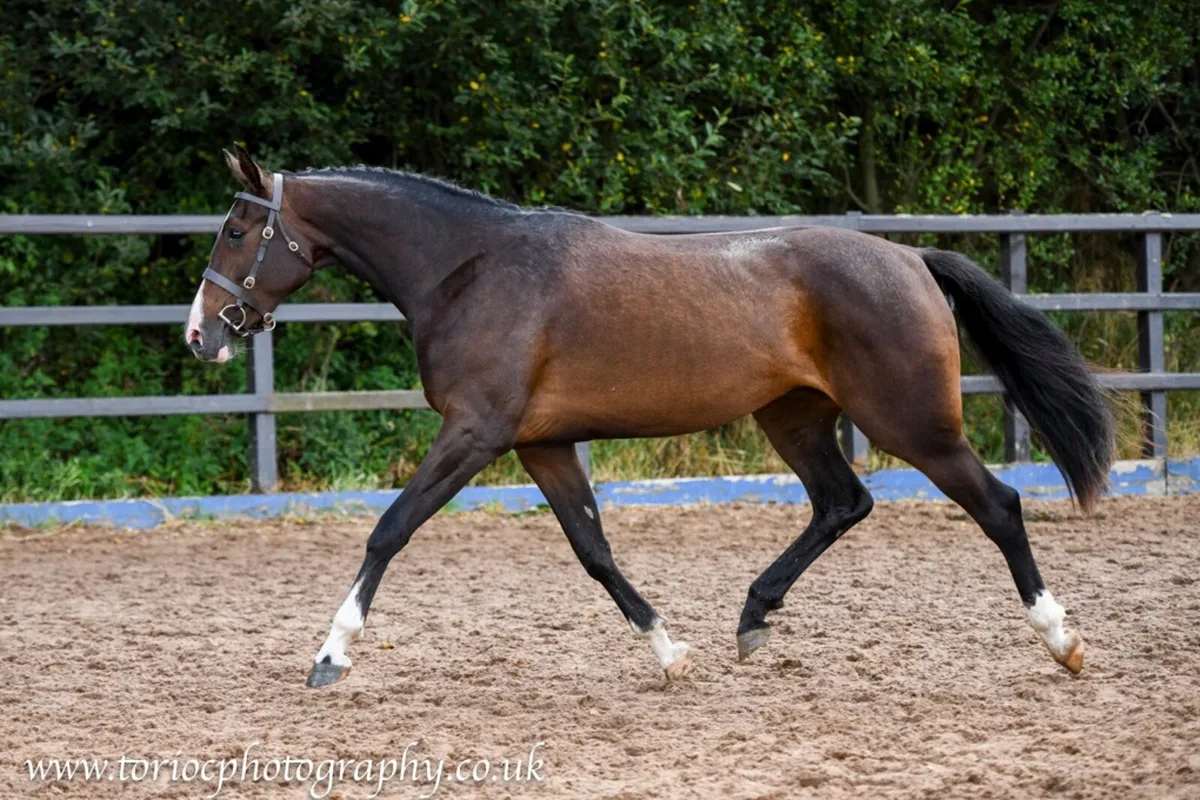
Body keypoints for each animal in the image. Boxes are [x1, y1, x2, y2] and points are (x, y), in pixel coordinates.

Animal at [186, 145, 1113, 687]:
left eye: (235, 229)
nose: (201, 333)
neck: (470, 269)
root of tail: (910, 258)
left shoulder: (475, 433)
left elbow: (389, 530)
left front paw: (330, 655)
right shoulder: (542, 445)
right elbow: (594, 553)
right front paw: (669, 651)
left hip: (910, 421)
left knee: (998, 505)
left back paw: (1063, 641)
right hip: (794, 418)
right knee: (842, 503)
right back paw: (751, 620)